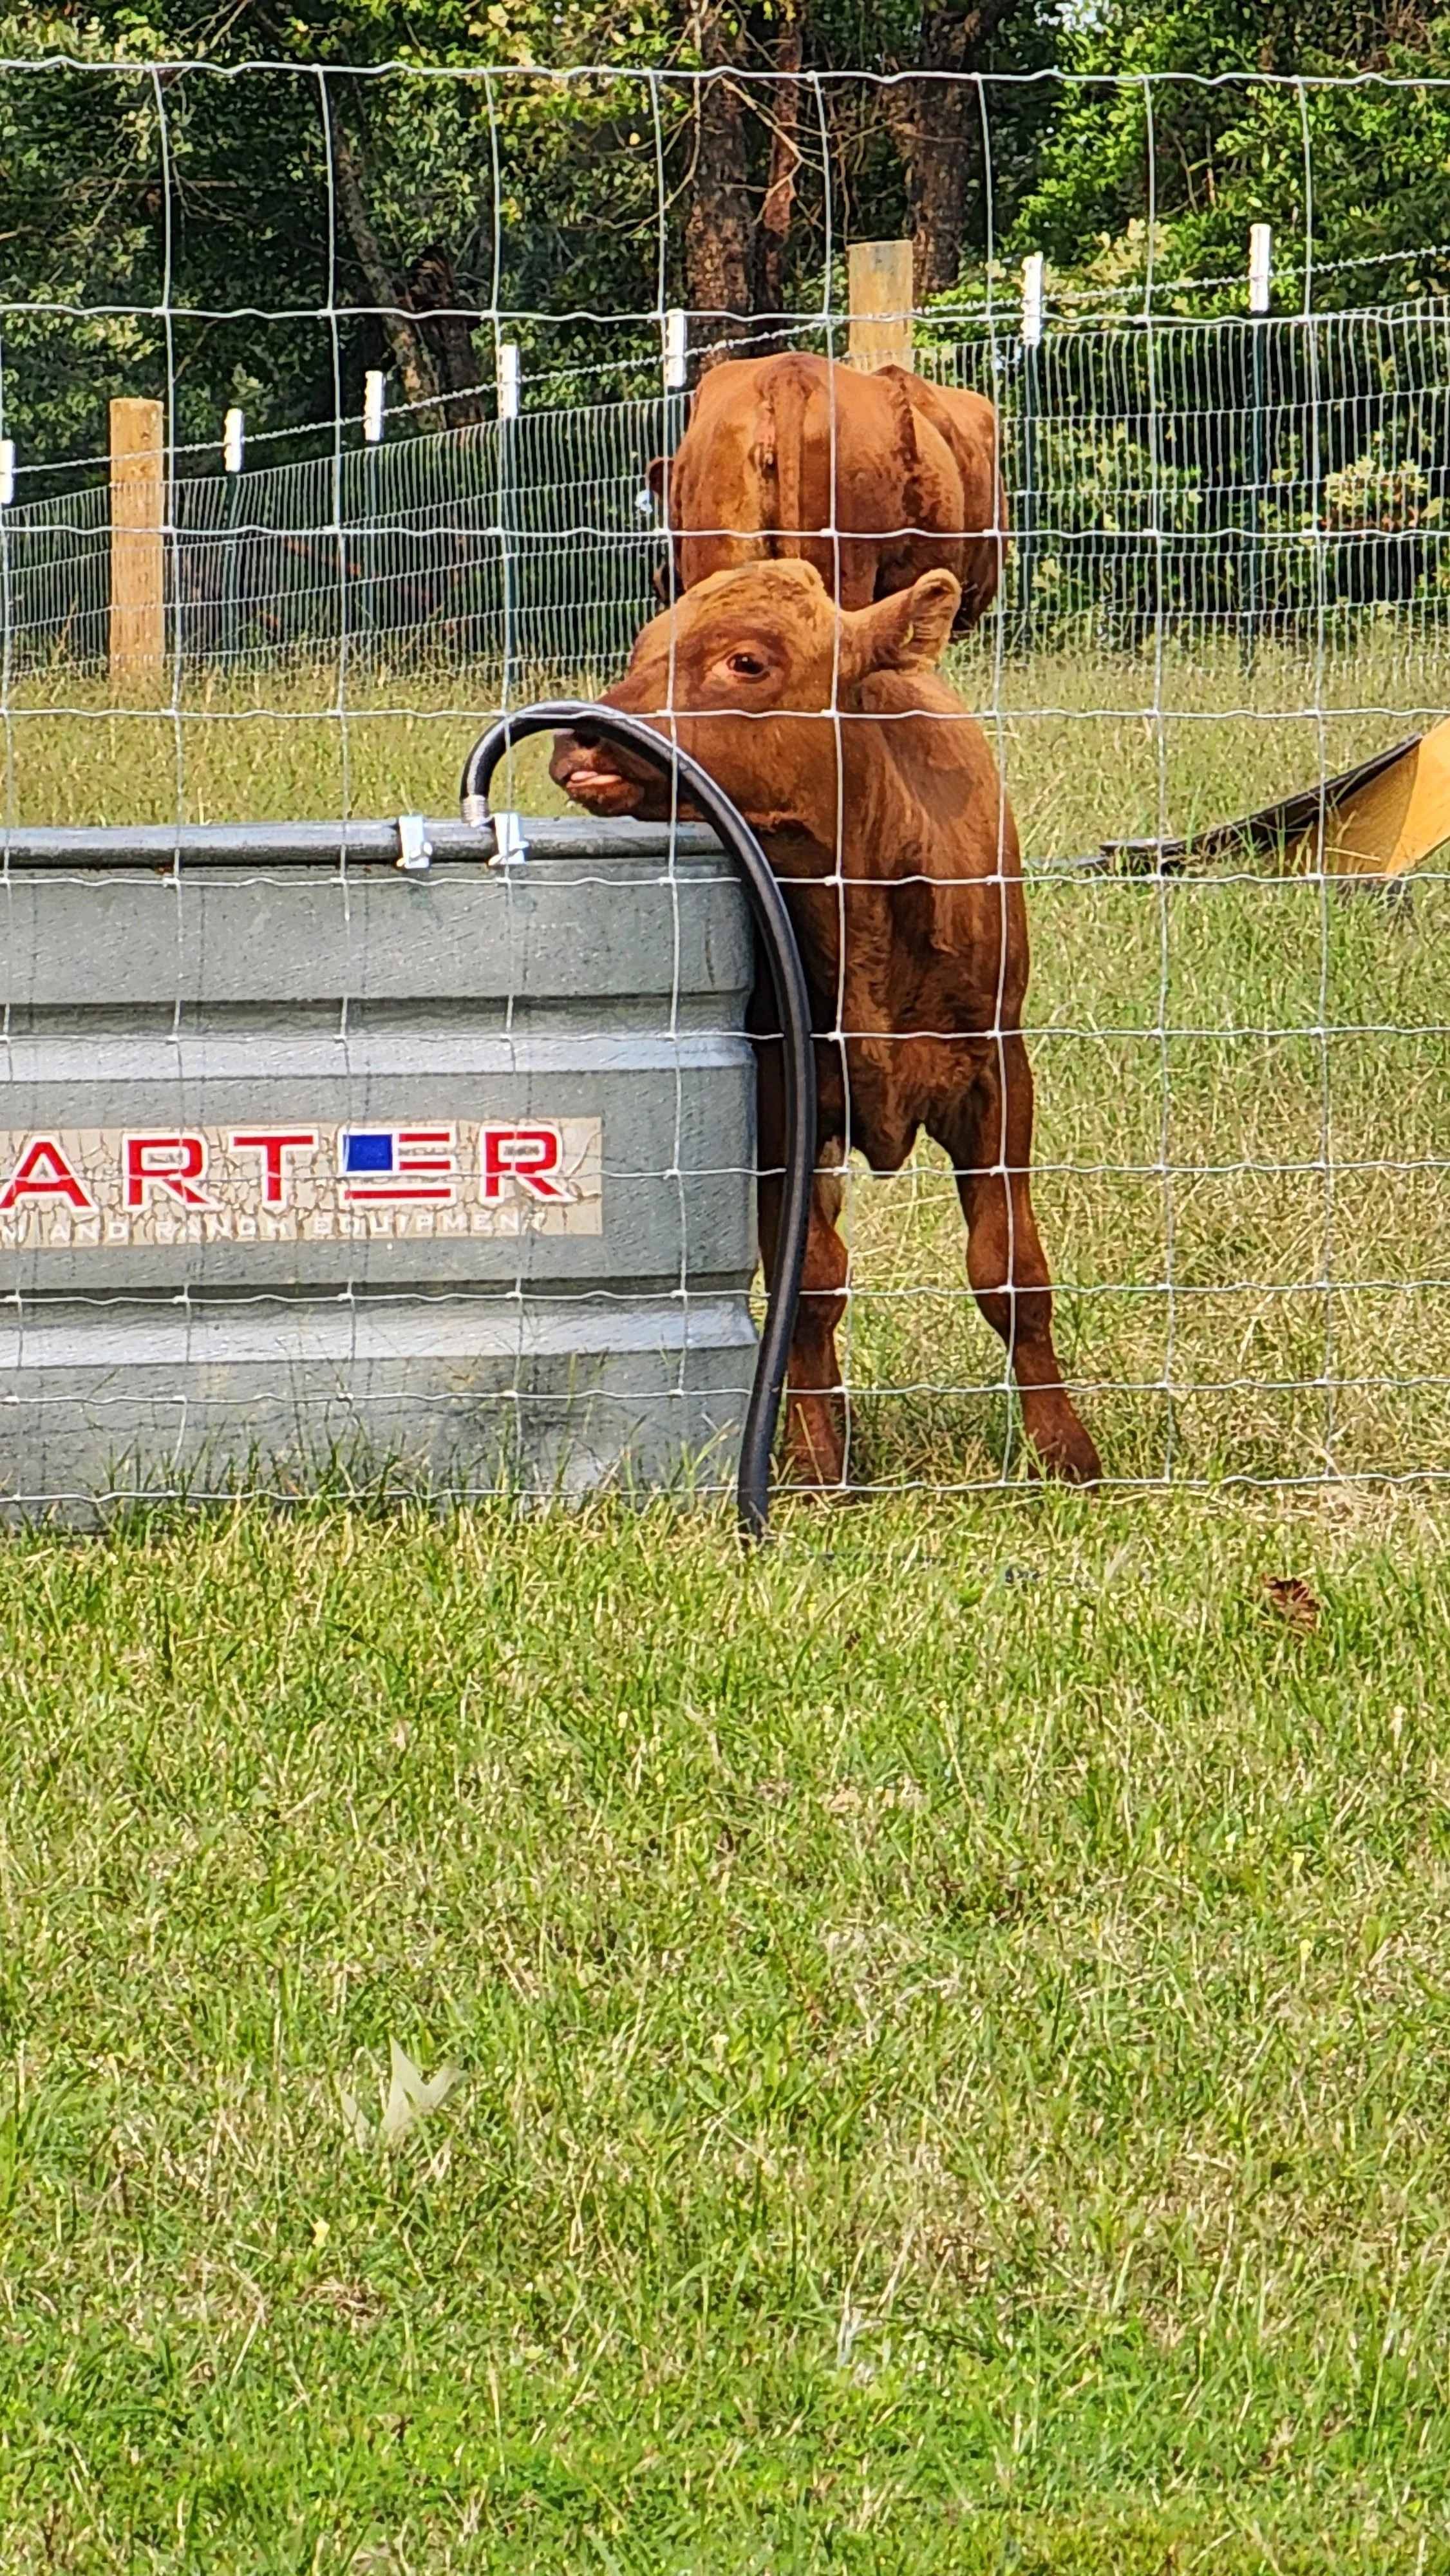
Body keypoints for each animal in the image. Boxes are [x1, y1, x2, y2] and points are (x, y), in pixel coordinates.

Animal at [550, 559, 1101, 1491]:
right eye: (641, 649)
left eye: (746, 661)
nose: (579, 736)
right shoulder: (781, 1093)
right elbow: (806, 1284)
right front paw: (816, 1465)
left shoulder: (998, 1073)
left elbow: (1010, 1271)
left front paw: (1066, 1452)